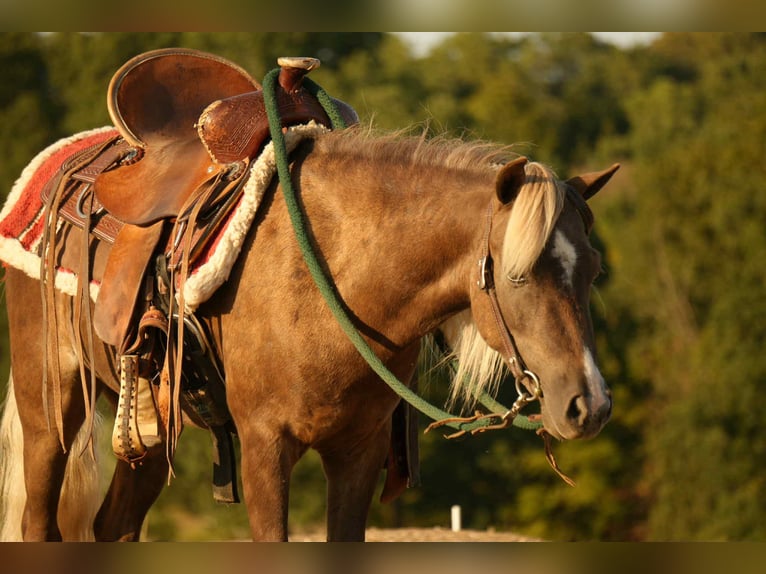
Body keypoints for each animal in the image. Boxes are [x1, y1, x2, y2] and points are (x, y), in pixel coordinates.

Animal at [0, 124, 617, 541]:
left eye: (591, 270)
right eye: (518, 274)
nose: (589, 405)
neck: (335, 280)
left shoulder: (358, 452)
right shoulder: (265, 446)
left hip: (149, 431)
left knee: (115, 524)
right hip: (49, 409)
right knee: (40, 522)